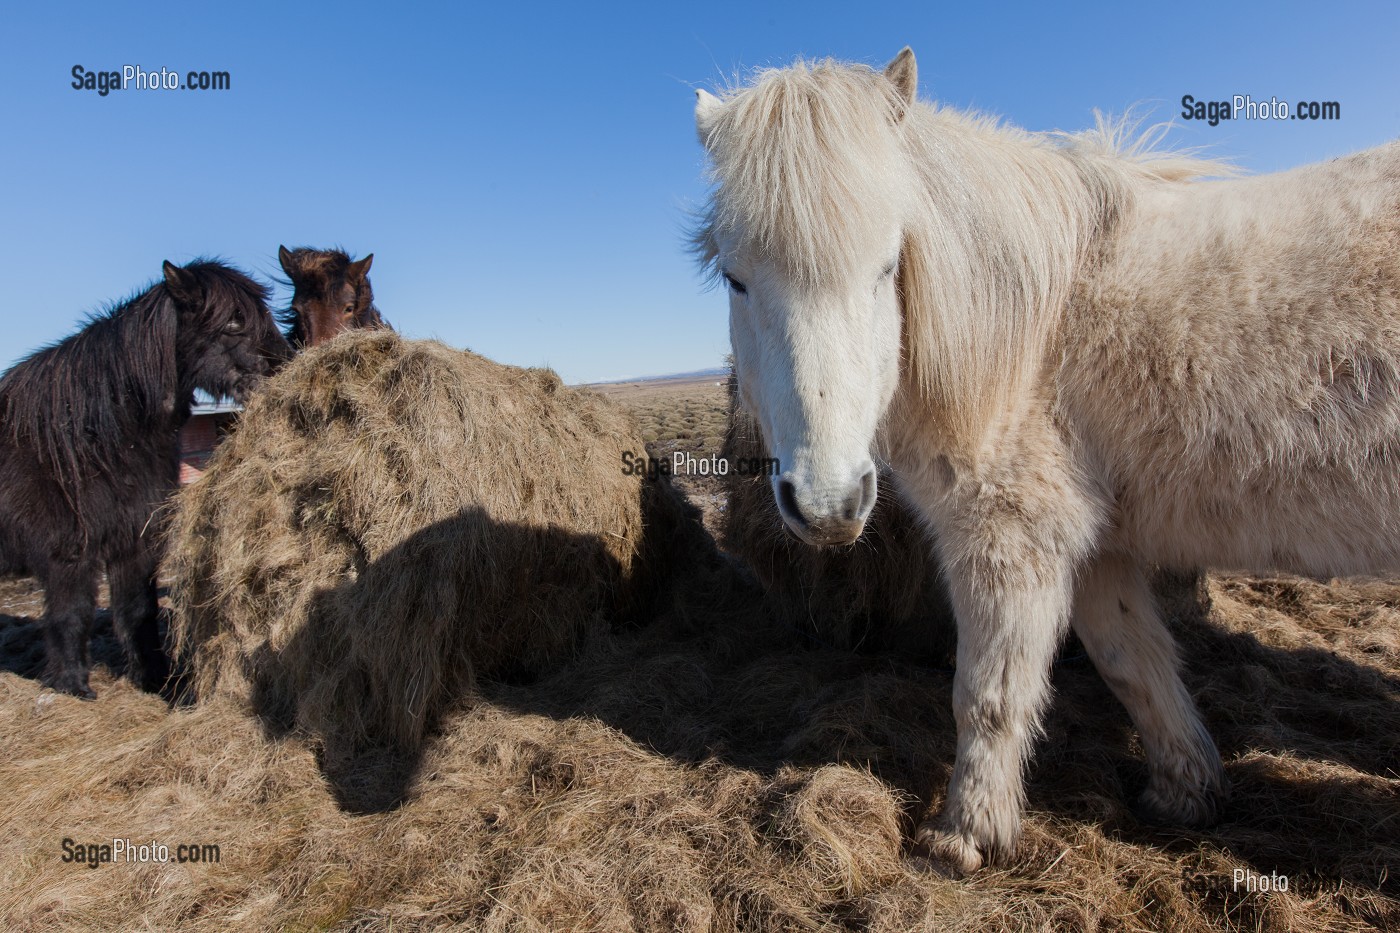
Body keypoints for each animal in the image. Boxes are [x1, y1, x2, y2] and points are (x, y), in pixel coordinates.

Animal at [0, 257, 289, 694]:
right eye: (232, 322)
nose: (283, 364)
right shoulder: (68, 554)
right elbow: (72, 616)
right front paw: (73, 686)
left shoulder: (135, 541)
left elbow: (138, 611)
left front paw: (155, 679)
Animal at [697, 47, 1400, 868]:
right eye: (736, 278)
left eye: (886, 266)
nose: (827, 503)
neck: (1036, 331)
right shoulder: (1096, 548)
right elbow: (1133, 662)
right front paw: (1185, 792)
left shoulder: (1009, 537)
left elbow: (989, 695)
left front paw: (964, 835)